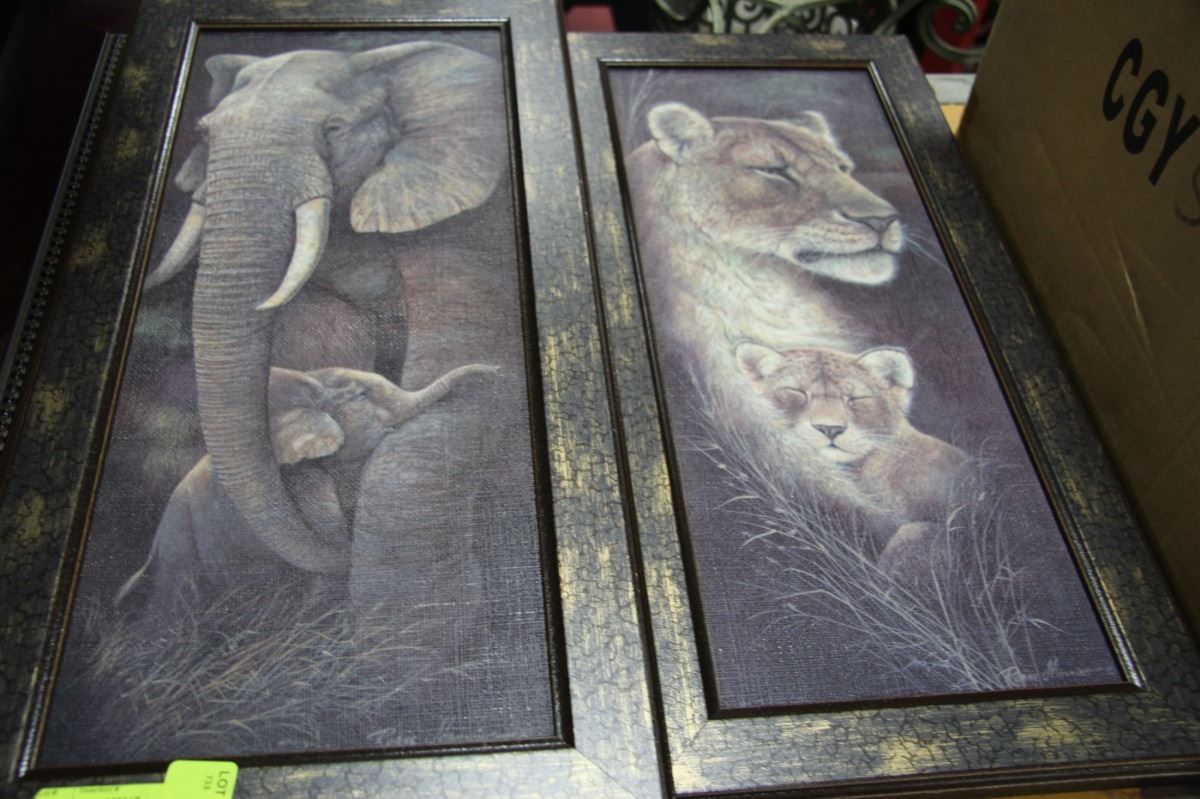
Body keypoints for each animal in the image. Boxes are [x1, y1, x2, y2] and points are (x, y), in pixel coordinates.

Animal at [116, 362, 499, 613]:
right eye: (362, 396)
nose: (494, 372)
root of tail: (153, 549)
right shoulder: (302, 481)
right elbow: (329, 539)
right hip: (182, 552)